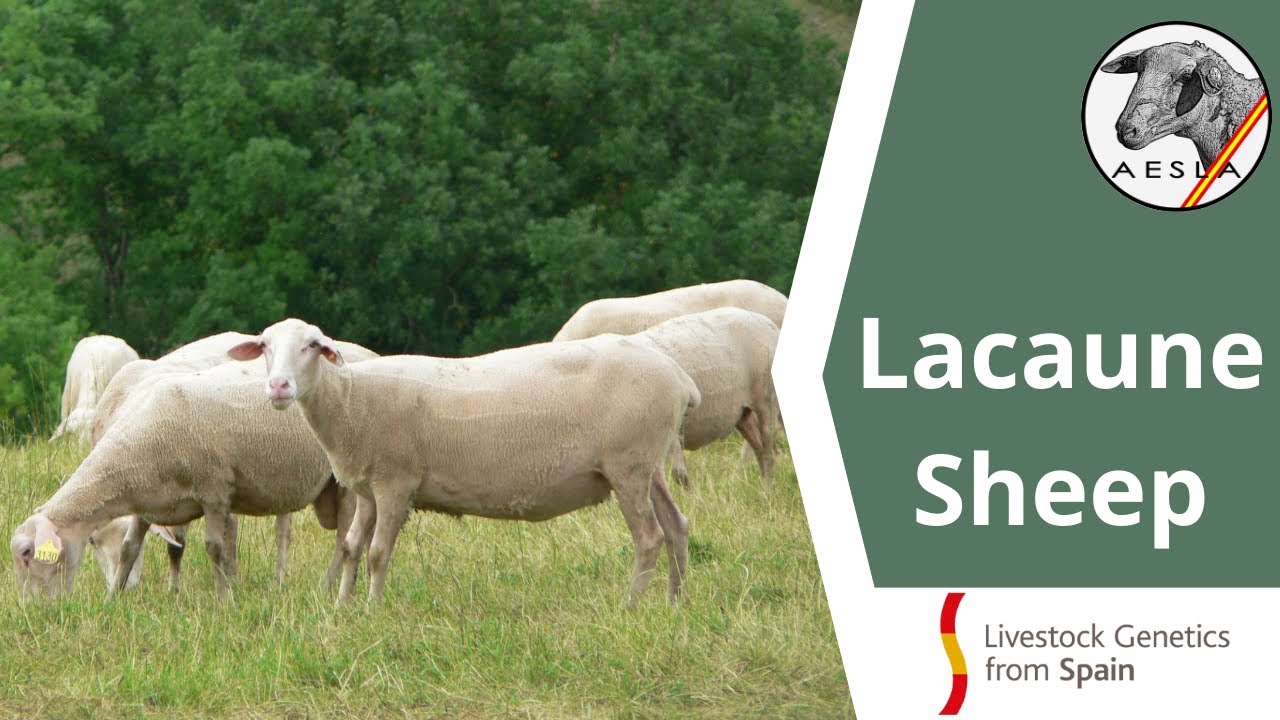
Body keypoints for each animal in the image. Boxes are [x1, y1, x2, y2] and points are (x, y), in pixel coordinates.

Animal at [12, 363, 351, 600]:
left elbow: (214, 547)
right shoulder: (148, 505)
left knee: (342, 538)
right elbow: (129, 548)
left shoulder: (215, 490)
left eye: (27, 553)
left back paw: (328, 585)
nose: (33, 610)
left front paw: (225, 600)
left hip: (345, 481)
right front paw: (113, 599)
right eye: (93, 542)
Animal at [228, 318, 701, 605]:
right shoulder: (367, 488)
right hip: (647, 464)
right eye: (265, 346)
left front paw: (371, 609)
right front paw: (342, 608)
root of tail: (679, 377)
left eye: (312, 345)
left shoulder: (396, 482)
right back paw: (675, 602)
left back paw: (631, 605)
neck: (351, 402)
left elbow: (378, 553)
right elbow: (350, 548)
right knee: (677, 525)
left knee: (650, 537)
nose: (278, 386)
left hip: (628, 464)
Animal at [629, 308, 780, 487]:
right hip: (743, 413)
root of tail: (767, 321)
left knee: (768, 449)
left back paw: (769, 488)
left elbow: (679, 474)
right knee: (759, 449)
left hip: (766, 396)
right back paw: (763, 489)